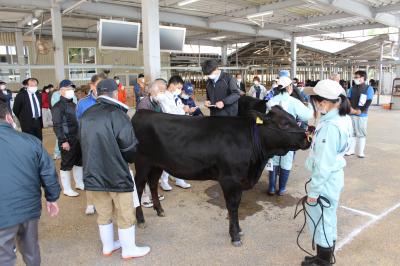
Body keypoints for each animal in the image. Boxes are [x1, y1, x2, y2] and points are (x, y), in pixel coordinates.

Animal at [133, 106, 310, 247]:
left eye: (293, 118)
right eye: (284, 123)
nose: (307, 137)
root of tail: (141, 112)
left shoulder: (240, 180)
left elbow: (237, 204)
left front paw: (238, 230)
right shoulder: (229, 180)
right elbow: (232, 206)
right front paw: (235, 236)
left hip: (157, 164)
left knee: (153, 184)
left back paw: (159, 210)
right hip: (142, 162)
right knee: (139, 187)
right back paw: (141, 220)